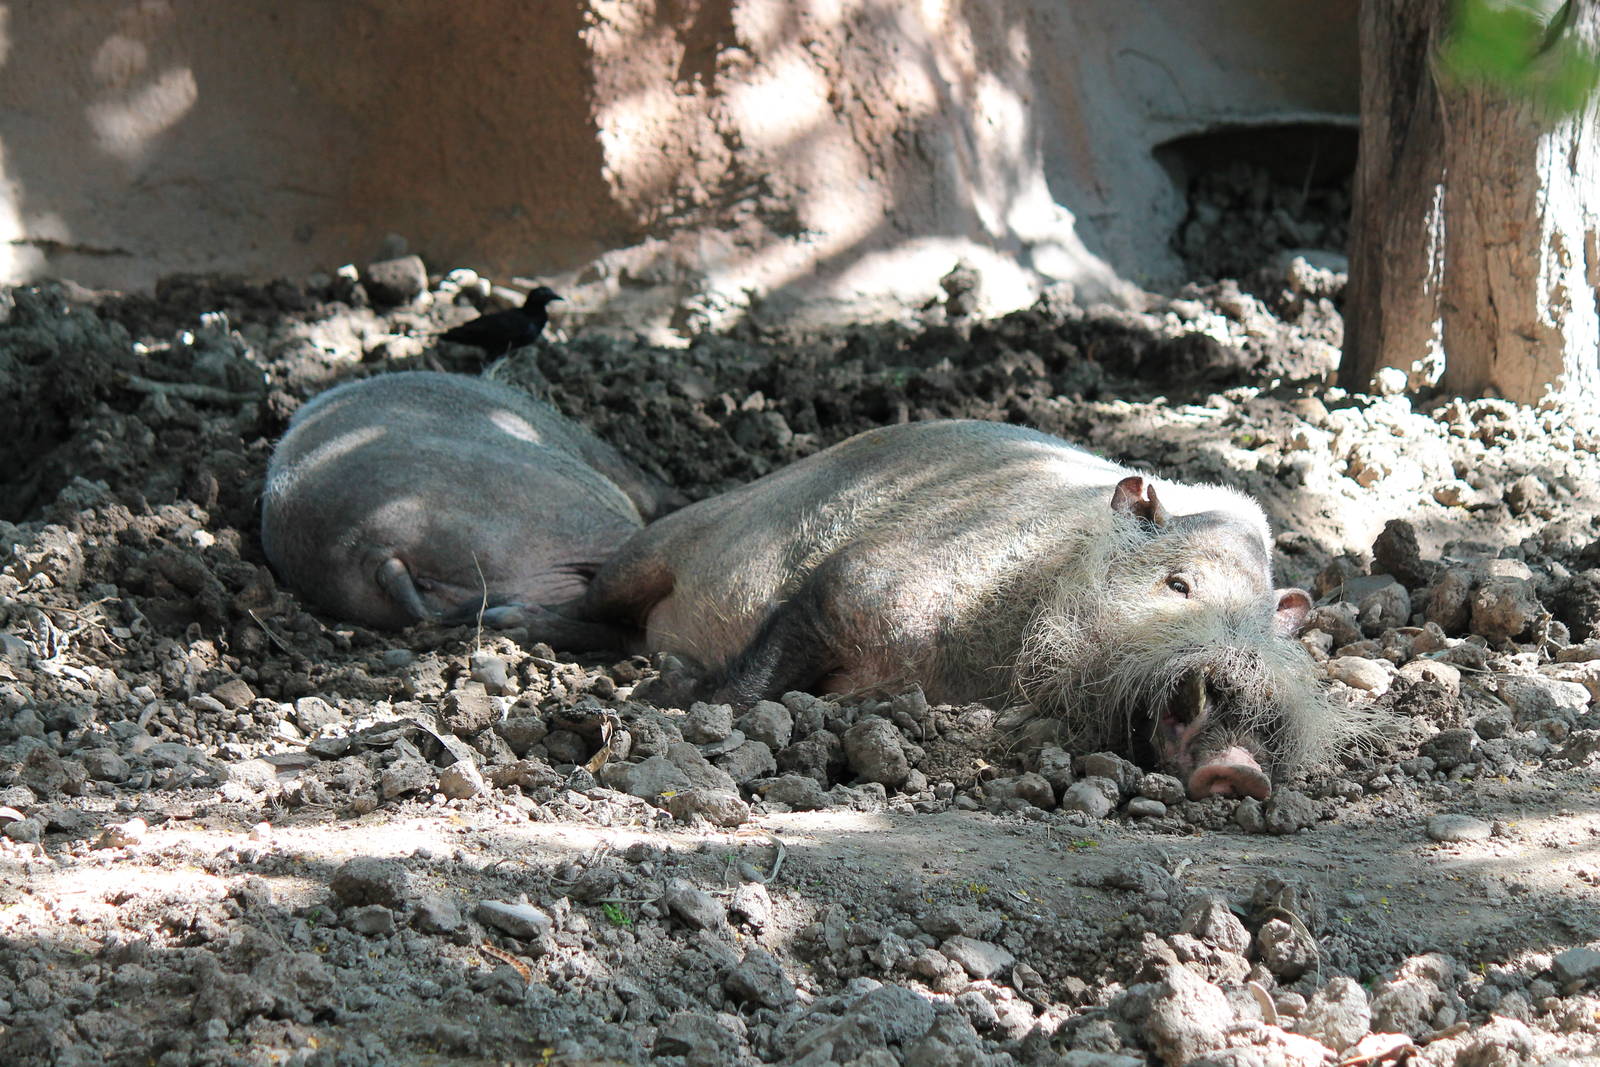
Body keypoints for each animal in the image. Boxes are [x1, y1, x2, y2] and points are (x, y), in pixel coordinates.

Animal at [577, 419, 1358, 798]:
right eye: (1178, 584)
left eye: (1265, 624)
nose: (1241, 767)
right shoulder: (861, 580)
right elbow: (764, 666)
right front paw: (659, 691)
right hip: (656, 544)